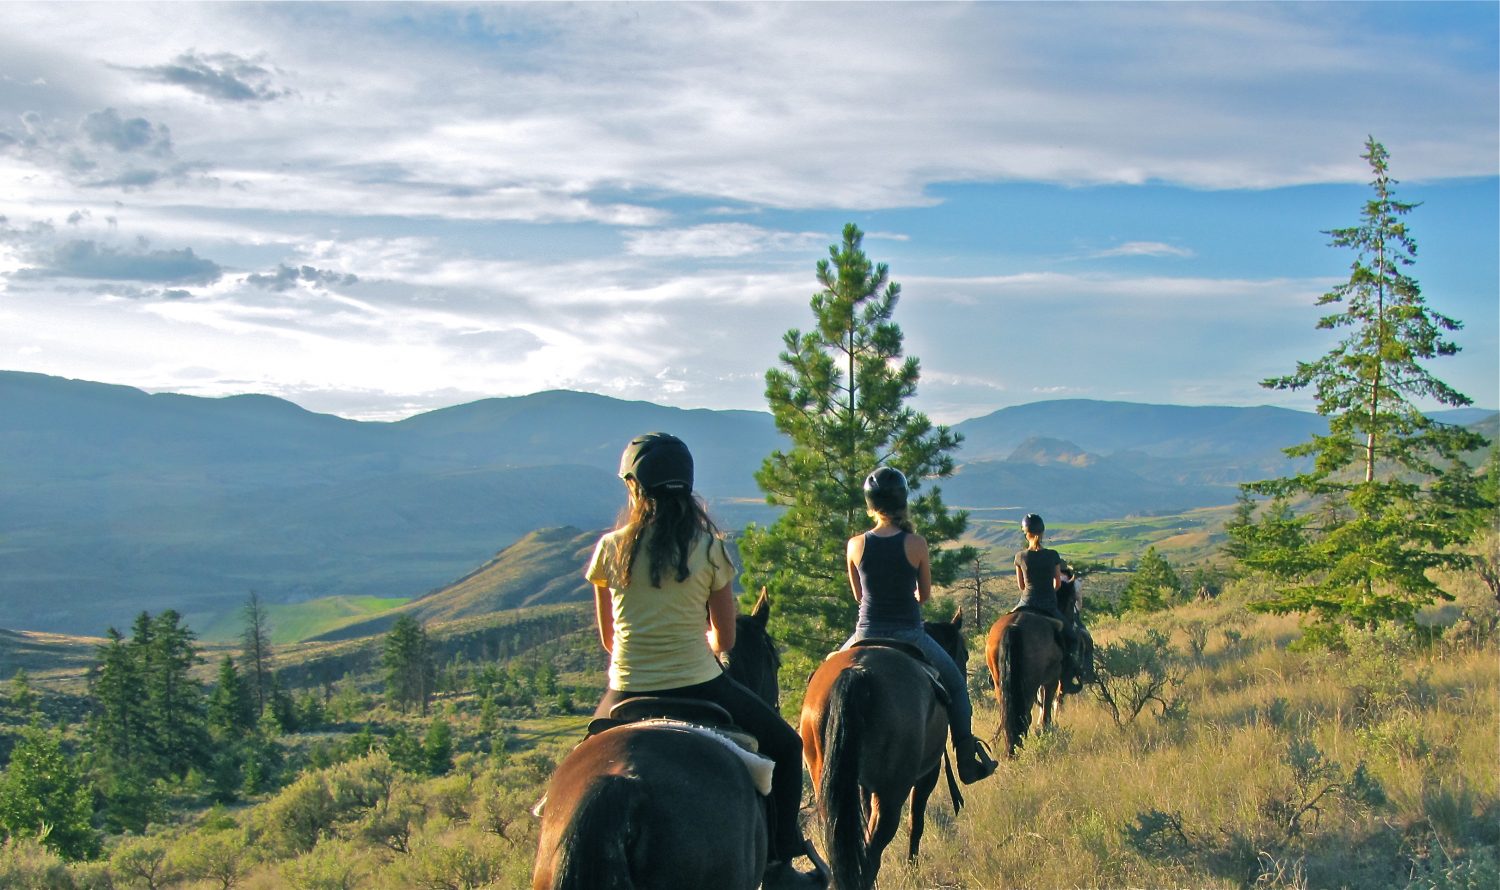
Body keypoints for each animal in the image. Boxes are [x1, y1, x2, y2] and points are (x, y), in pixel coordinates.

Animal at [798, 606, 972, 888]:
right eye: (964, 654)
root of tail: (857, 672)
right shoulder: (928, 773)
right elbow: (916, 821)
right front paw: (912, 870)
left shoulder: (862, 785)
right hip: (892, 792)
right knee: (873, 847)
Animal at [984, 612, 1068, 756]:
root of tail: (1013, 625)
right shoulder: (1051, 681)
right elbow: (1046, 714)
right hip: (1030, 685)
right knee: (1025, 717)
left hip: (999, 684)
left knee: (1007, 715)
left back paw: (1011, 749)